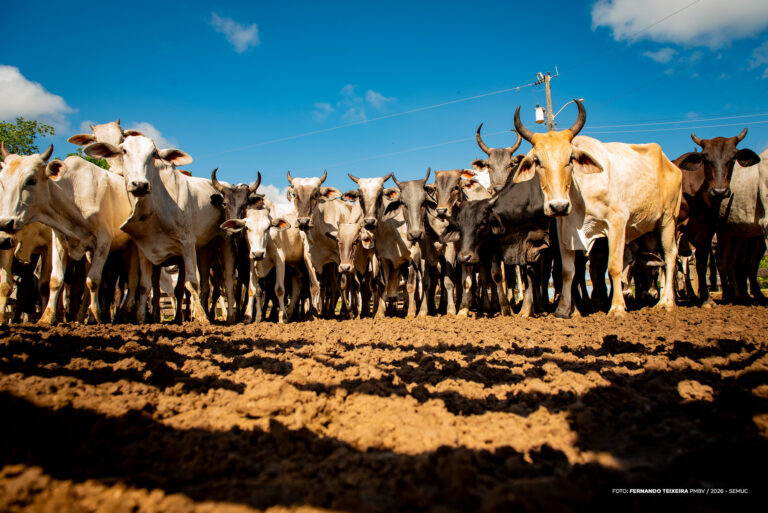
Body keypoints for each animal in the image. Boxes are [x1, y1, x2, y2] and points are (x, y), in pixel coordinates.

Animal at [0, 143, 136, 323]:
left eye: (31, 180)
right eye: (2, 182)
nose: (5, 223)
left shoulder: (103, 242)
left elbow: (94, 281)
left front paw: (97, 316)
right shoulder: (59, 241)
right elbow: (55, 280)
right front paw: (47, 317)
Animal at [84, 135, 231, 324]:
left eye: (153, 154)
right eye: (124, 150)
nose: (140, 185)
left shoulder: (187, 244)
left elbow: (191, 283)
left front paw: (201, 317)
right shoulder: (144, 250)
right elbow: (144, 286)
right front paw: (141, 319)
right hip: (204, 250)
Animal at [512, 100, 682, 317]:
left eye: (570, 158)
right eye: (538, 161)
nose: (559, 206)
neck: (580, 194)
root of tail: (671, 164)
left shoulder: (617, 222)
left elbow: (614, 266)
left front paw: (617, 307)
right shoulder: (564, 229)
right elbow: (567, 271)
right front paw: (563, 309)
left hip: (668, 219)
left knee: (670, 255)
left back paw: (667, 301)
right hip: (652, 229)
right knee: (659, 259)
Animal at [674, 129, 761, 306]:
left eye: (733, 157)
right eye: (706, 158)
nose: (720, 191)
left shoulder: (707, 231)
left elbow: (701, 264)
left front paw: (706, 299)